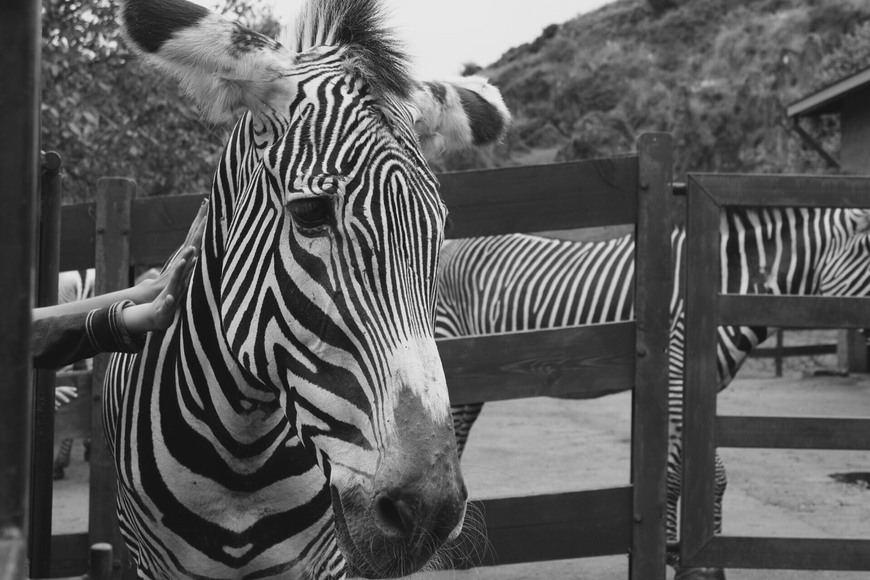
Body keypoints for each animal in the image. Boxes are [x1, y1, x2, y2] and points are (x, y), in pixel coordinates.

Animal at [436, 206, 870, 576]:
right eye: (869, 253)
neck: (725, 288)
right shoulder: (679, 381)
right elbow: (704, 475)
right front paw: (698, 564)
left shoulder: (686, 391)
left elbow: (683, 476)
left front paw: (685, 554)